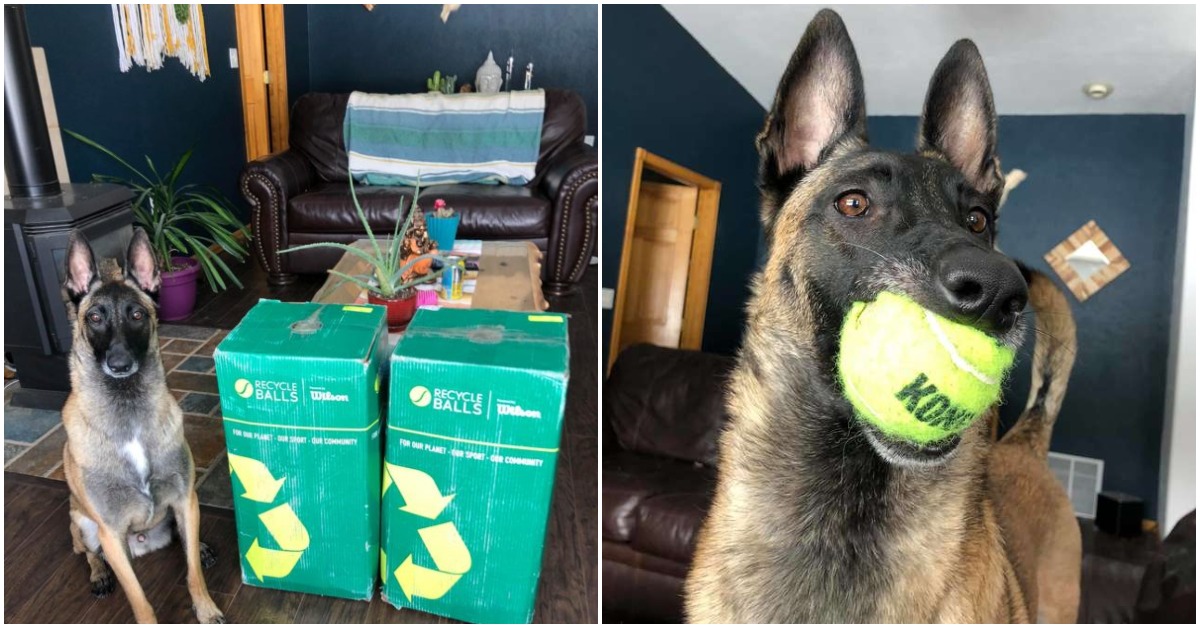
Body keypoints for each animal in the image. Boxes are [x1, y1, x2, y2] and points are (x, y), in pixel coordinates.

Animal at [60, 229, 225, 624]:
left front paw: (205, 608)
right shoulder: (109, 532)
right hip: (82, 524)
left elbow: (193, 572)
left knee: (184, 539)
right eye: (94, 317)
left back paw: (200, 546)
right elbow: (139, 598)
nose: (119, 364)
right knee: (88, 553)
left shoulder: (184, 499)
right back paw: (99, 576)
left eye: (136, 314)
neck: (128, 411)